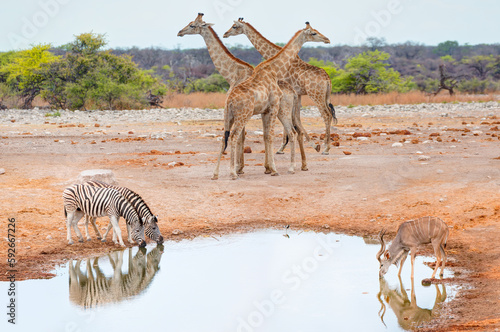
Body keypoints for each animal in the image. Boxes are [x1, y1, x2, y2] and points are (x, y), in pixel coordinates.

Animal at [178, 13, 314, 174]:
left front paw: (239, 168)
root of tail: (292, 91)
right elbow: (248, 136)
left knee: (292, 131)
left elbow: (243, 137)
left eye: (192, 25)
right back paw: (303, 164)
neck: (232, 73)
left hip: (281, 110)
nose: (179, 32)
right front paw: (248, 167)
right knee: (297, 131)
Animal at [213, 21, 330, 179]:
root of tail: (230, 100)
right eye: (313, 33)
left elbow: (267, 135)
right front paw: (273, 169)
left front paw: (269, 167)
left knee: (224, 137)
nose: (327, 39)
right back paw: (233, 173)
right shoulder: (274, 106)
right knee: (234, 136)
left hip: (228, 116)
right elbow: (271, 136)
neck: (274, 68)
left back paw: (215, 173)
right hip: (243, 115)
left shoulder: (266, 110)